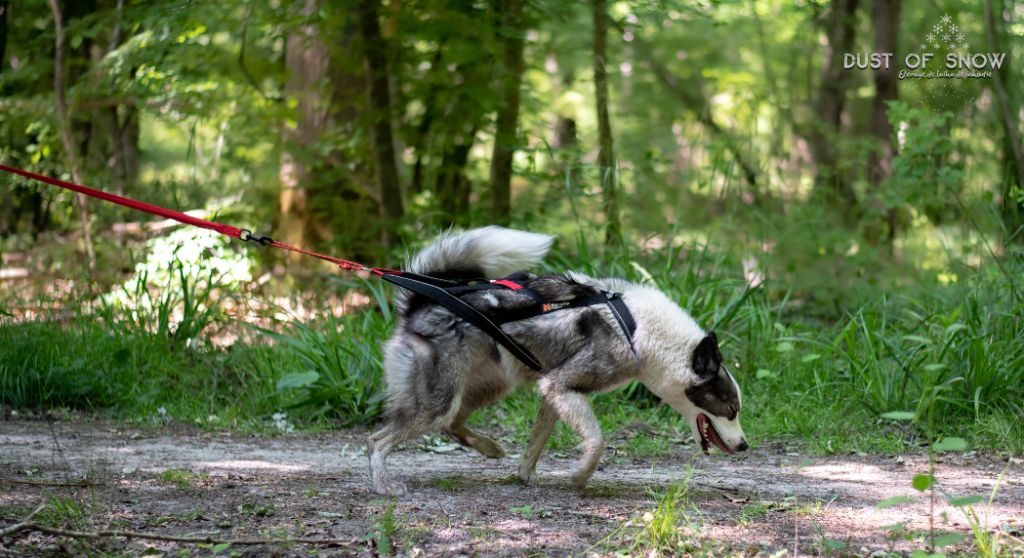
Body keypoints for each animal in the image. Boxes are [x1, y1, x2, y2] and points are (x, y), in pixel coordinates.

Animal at [367, 226, 747, 495]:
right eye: (730, 409)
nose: (745, 446)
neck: (636, 327)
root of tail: (418, 305)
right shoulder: (561, 386)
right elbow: (596, 441)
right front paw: (579, 476)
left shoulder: (552, 392)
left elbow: (534, 448)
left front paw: (526, 478)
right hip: (438, 402)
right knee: (377, 441)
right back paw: (384, 486)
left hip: (489, 386)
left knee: (453, 424)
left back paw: (489, 448)